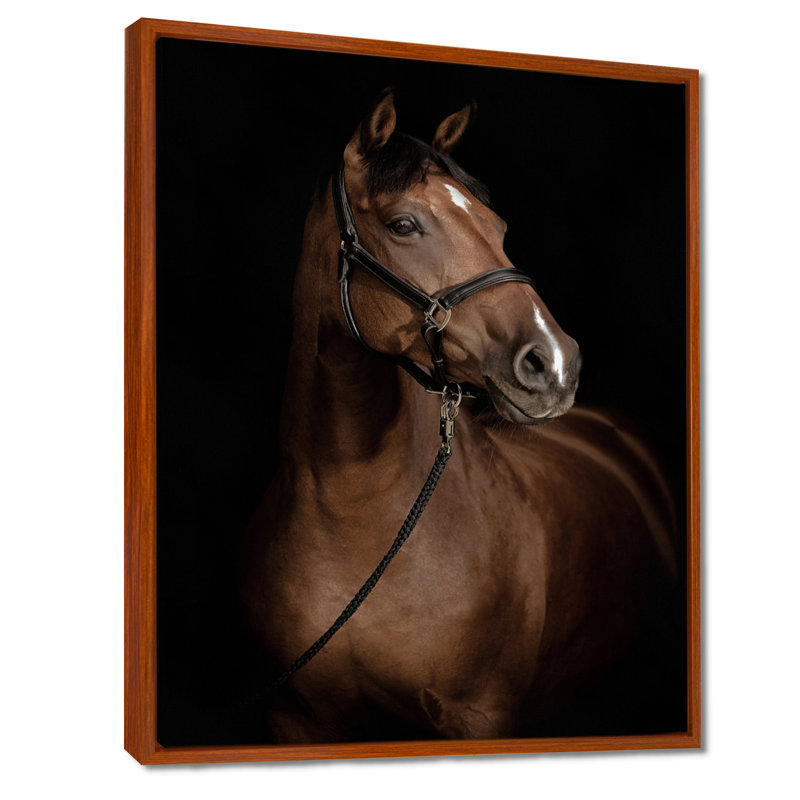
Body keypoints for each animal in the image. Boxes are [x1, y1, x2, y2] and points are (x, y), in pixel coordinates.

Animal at [241, 90, 678, 743]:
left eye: (498, 227)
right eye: (403, 224)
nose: (555, 362)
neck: (350, 509)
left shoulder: (477, 717)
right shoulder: (295, 718)